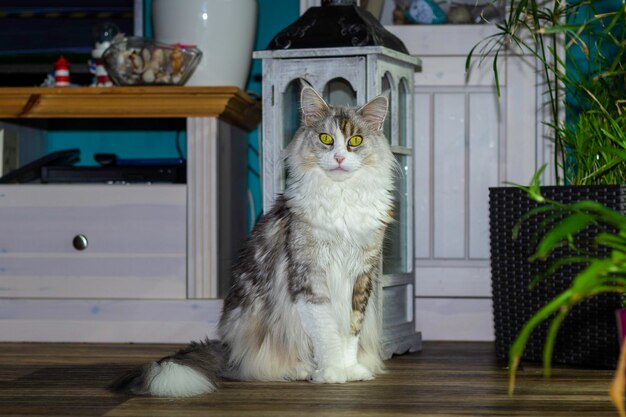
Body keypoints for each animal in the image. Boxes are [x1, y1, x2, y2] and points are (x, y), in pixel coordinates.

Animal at [110, 83, 394, 396]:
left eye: (355, 140)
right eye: (326, 139)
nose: (340, 158)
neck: (341, 198)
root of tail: (226, 347)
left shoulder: (361, 276)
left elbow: (351, 332)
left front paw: (351, 369)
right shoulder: (309, 277)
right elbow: (327, 332)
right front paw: (332, 372)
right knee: (261, 365)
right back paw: (301, 370)